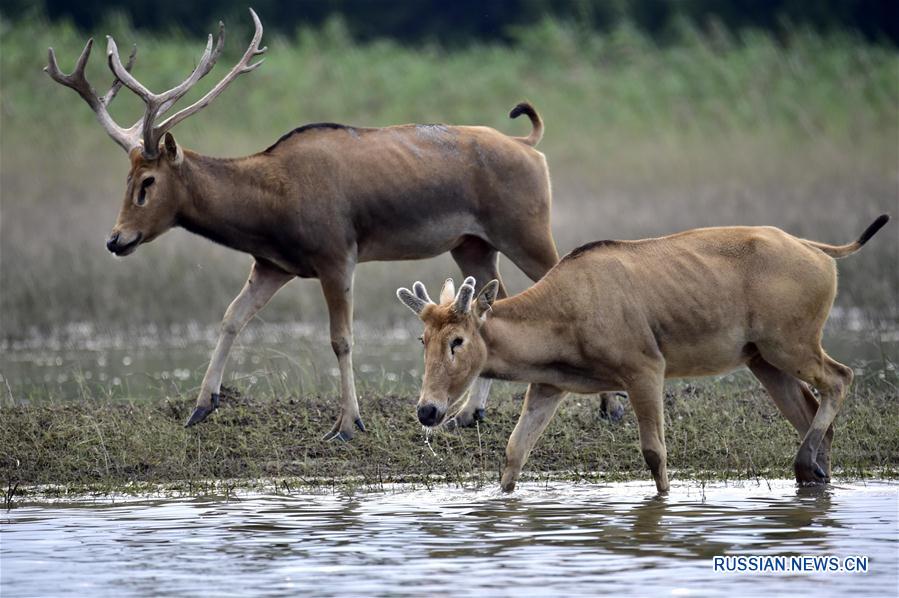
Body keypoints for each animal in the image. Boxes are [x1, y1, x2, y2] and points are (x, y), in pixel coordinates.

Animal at [45, 8, 624, 440]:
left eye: (146, 182)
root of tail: (532, 145)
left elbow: (341, 338)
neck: (269, 208)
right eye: (125, 178)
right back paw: (468, 413)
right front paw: (201, 406)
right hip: (471, 244)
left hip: (525, 226)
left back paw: (611, 406)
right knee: (490, 298)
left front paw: (348, 424)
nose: (116, 239)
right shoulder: (273, 263)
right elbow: (232, 316)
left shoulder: (335, 252)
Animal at [400, 218, 884, 494]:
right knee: (812, 412)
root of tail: (823, 252)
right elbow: (515, 452)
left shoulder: (645, 367)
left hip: (791, 341)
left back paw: (807, 464)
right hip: (762, 357)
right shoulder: (548, 384)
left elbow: (655, 453)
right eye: (422, 339)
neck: (557, 328)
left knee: (841, 377)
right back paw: (814, 472)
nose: (428, 410)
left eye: (457, 341)